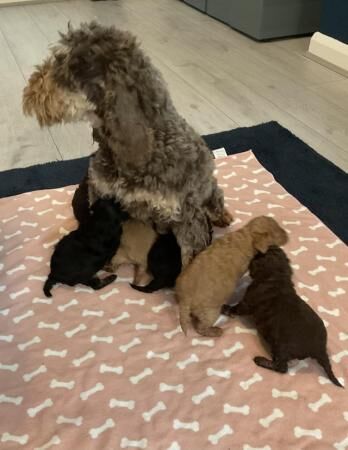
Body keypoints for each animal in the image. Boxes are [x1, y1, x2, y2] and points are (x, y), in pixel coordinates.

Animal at [23, 21, 232, 266]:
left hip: (208, 190)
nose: (30, 87)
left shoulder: (186, 217)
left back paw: (222, 214)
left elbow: (190, 262)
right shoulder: (101, 195)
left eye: (65, 69)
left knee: (216, 197)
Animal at [222, 246, 342, 386]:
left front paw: (225, 308)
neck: (277, 276)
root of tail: (320, 350)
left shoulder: (247, 303)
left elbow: (236, 308)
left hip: (280, 346)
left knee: (282, 368)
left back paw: (260, 360)